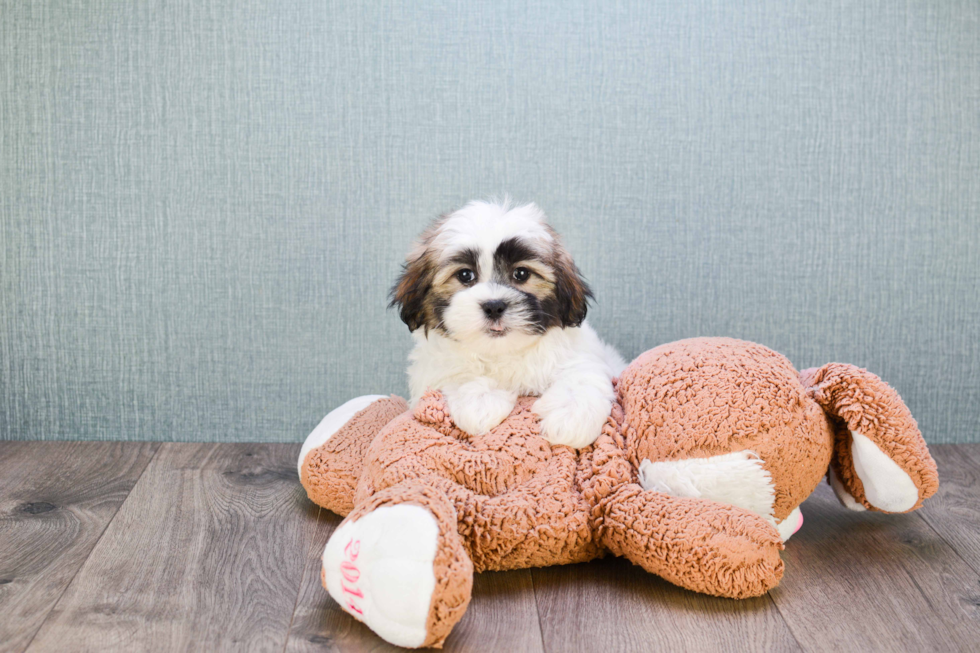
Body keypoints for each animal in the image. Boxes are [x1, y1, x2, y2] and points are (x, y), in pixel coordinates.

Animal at [386, 199, 624, 448]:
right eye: (465, 275)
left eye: (521, 273)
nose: (494, 306)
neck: (502, 352)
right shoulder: (432, 370)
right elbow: (458, 372)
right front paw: (479, 401)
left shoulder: (581, 354)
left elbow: (580, 375)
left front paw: (571, 415)